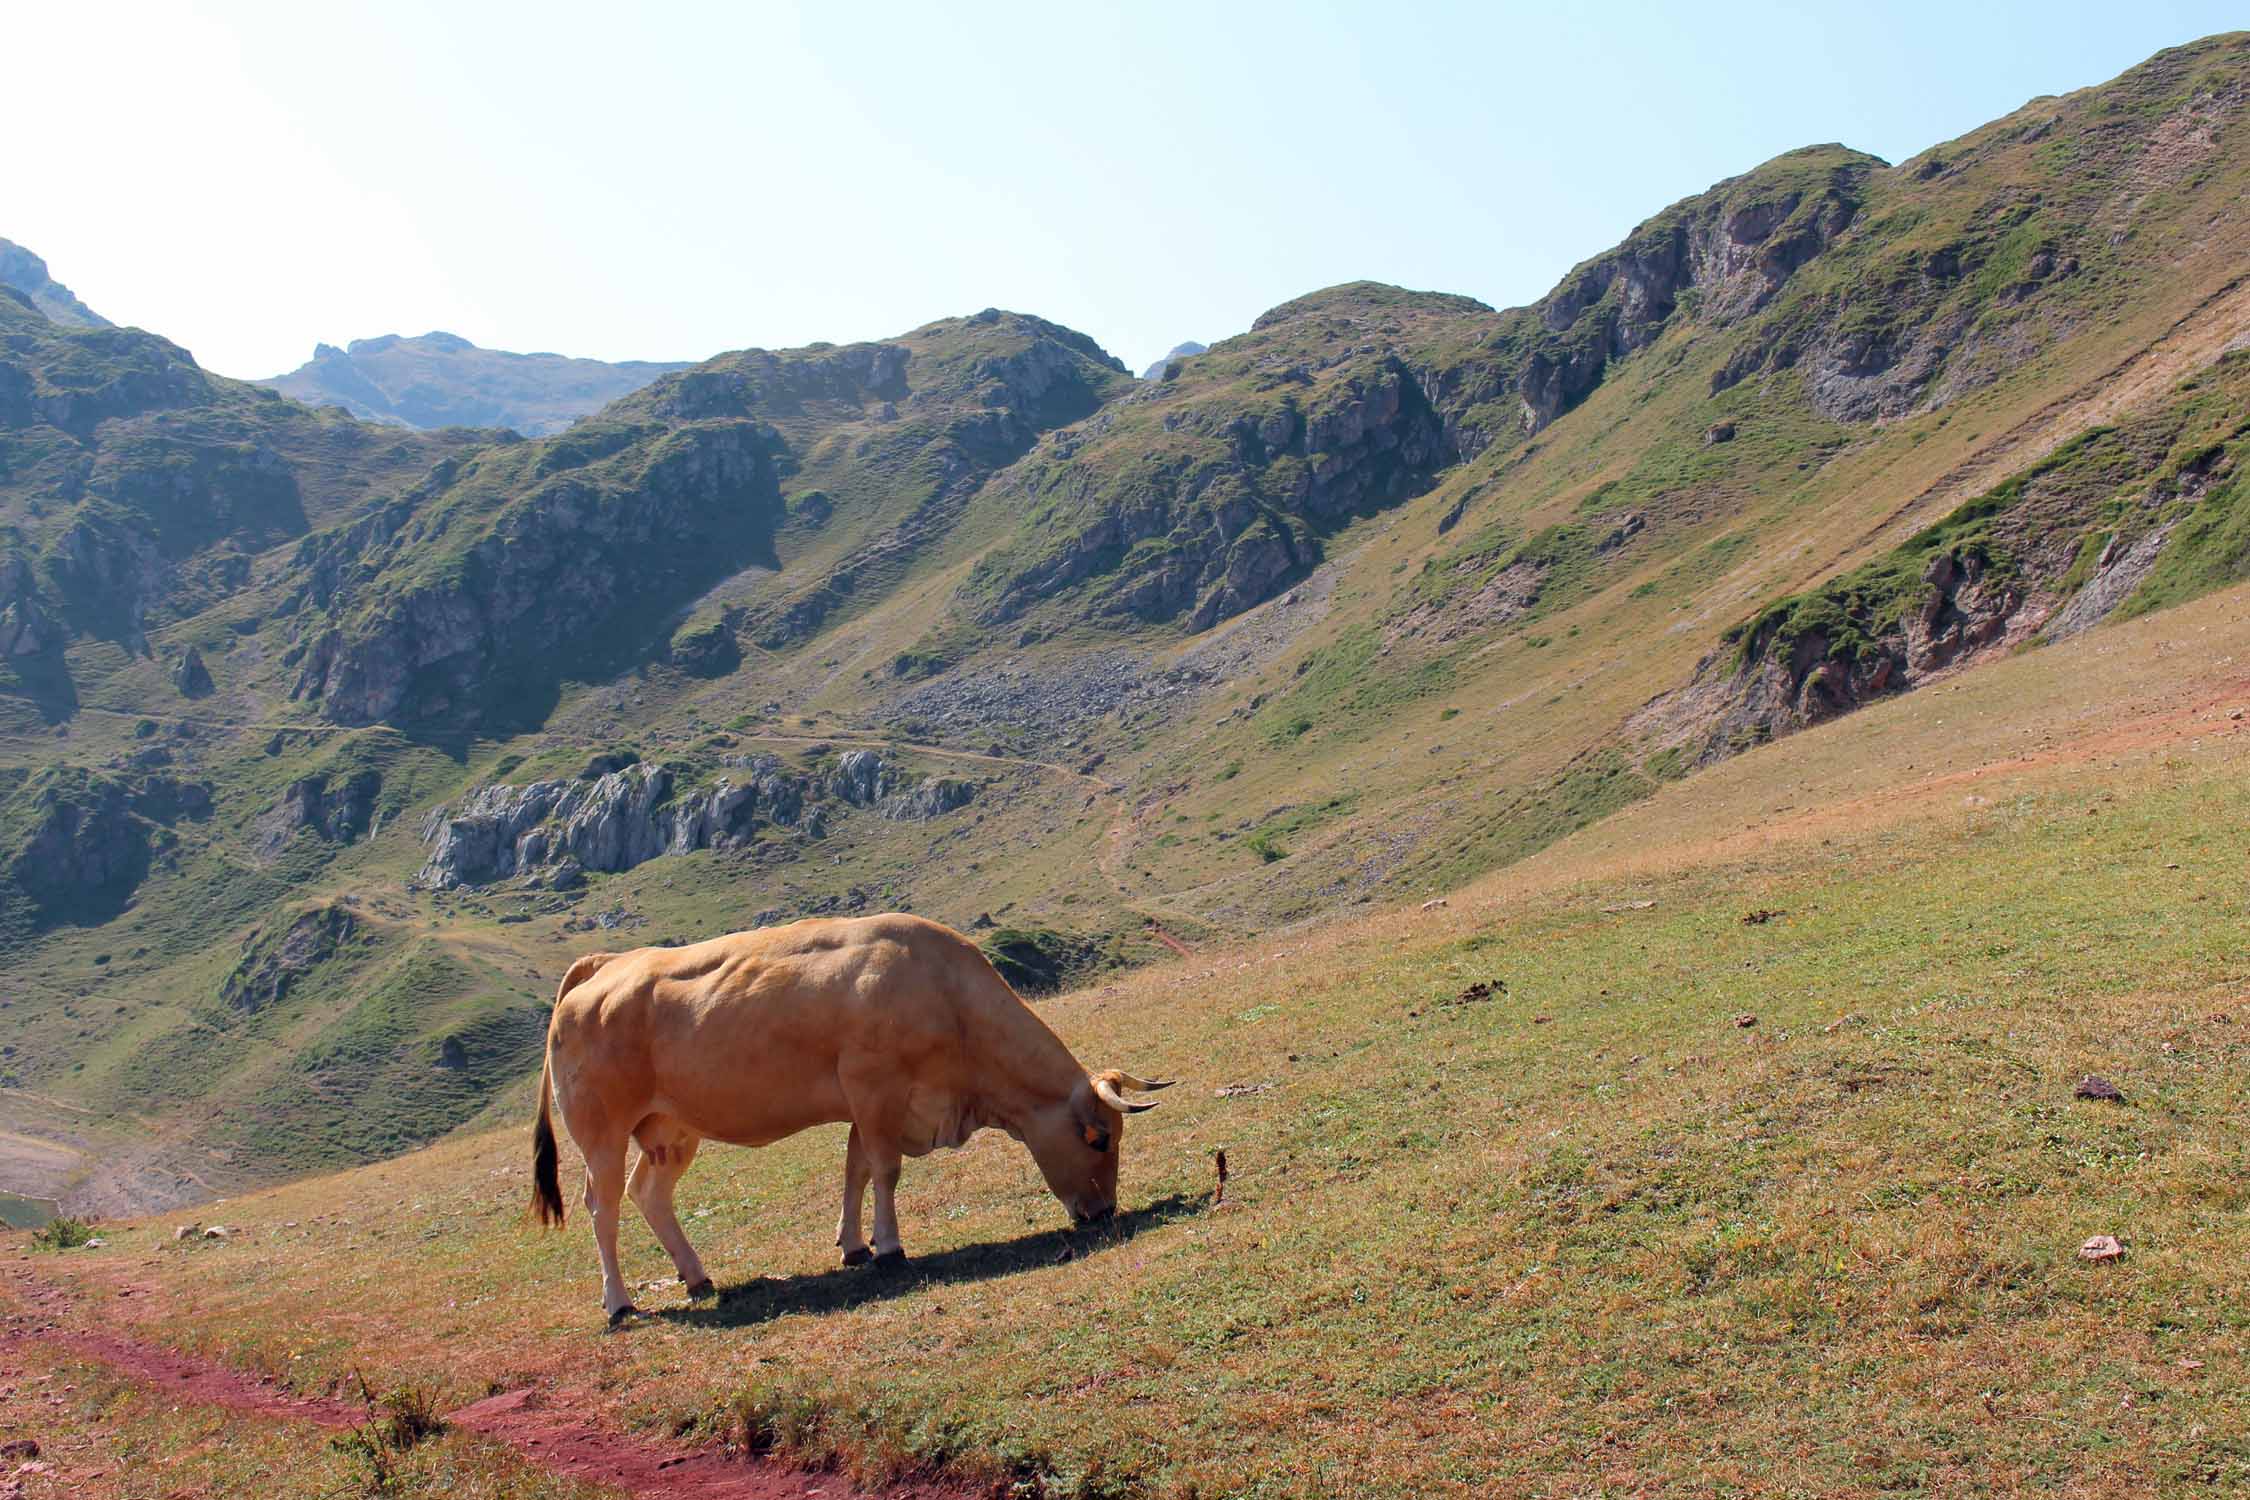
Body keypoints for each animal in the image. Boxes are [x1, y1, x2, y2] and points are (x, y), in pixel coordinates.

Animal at [524, 908, 1161, 1322]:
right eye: (1099, 1139)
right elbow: (884, 1170)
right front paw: (890, 1247)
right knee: (602, 1206)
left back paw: (697, 1276)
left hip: (670, 1129)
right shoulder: (875, 1087)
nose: (1105, 1212)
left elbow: (855, 1170)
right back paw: (618, 1303)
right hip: (601, 1133)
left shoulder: (869, 1102)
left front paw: (855, 1244)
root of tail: (608, 964)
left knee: (649, 1194)